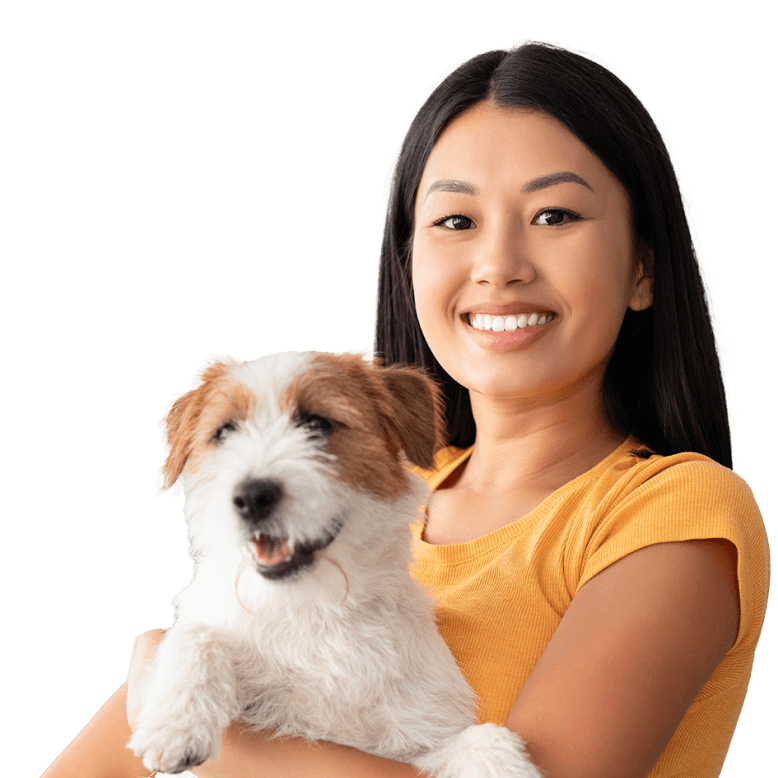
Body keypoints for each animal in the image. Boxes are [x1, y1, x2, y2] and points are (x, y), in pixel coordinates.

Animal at [129, 352, 540, 776]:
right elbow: (196, 635)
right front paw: (175, 723)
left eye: (318, 423)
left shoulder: (422, 732)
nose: (251, 495)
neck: (314, 608)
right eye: (224, 432)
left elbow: (479, 741)